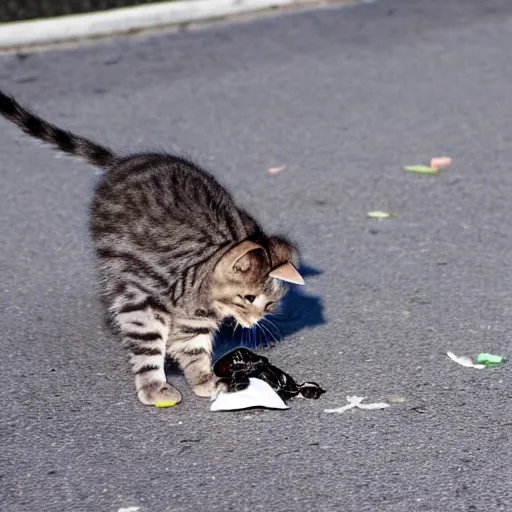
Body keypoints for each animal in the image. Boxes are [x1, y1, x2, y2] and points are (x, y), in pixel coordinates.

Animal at [1, 90, 304, 406]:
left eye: (269, 304)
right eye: (248, 297)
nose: (255, 320)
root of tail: (124, 160)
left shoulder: (193, 322)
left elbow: (192, 347)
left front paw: (204, 380)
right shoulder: (140, 297)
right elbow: (148, 343)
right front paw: (154, 386)